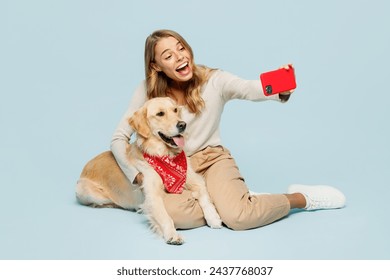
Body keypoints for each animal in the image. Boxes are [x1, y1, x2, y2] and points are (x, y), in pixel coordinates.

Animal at [75, 97, 222, 245]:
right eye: (160, 114)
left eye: (175, 110)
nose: (182, 124)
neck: (165, 154)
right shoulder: (152, 195)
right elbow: (165, 217)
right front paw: (173, 235)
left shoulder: (194, 179)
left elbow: (204, 194)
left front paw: (213, 217)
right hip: (84, 190)